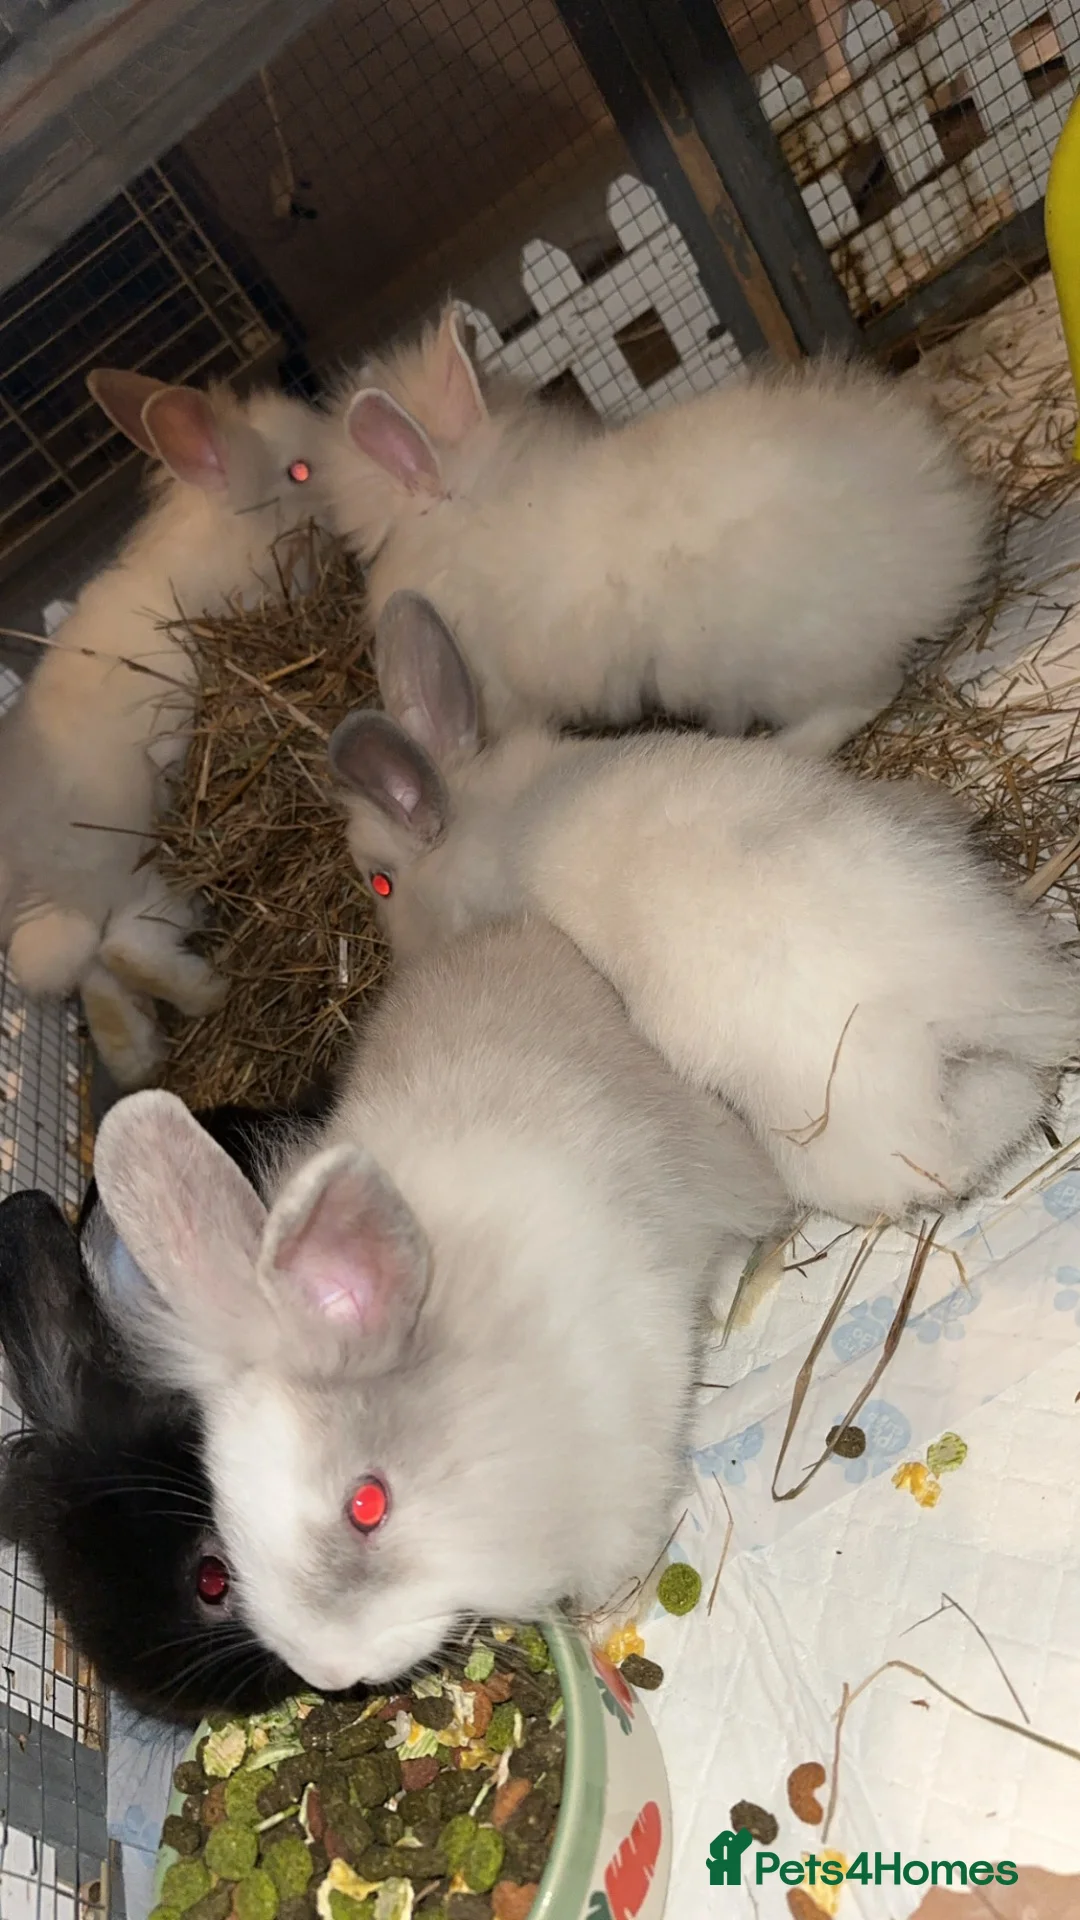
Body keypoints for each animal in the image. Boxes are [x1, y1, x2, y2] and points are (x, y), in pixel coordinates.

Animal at [0, 368, 336, 1090]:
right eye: (299, 469)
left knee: (90, 974)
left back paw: (140, 1054)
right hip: (153, 861)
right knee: (124, 948)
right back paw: (210, 993)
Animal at [323, 302, 995, 753]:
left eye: (379, 549)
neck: (479, 509)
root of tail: (943, 544)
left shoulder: (502, 690)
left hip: (781, 664)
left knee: (863, 698)